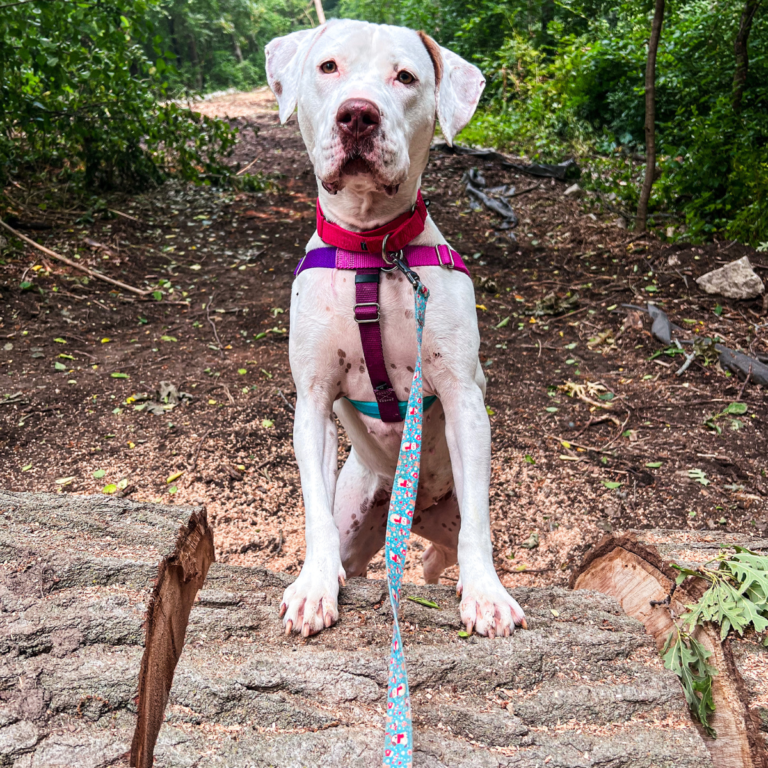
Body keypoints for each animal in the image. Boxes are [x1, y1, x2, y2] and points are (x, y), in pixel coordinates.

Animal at [266, 21, 528, 640]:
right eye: (328, 67)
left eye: (405, 77)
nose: (357, 115)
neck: (373, 250)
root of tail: (420, 513)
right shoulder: (313, 400)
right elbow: (313, 507)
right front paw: (313, 585)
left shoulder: (461, 398)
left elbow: (479, 524)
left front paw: (486, 594)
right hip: (360, 515)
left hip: (447, 515)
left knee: (449, 547)